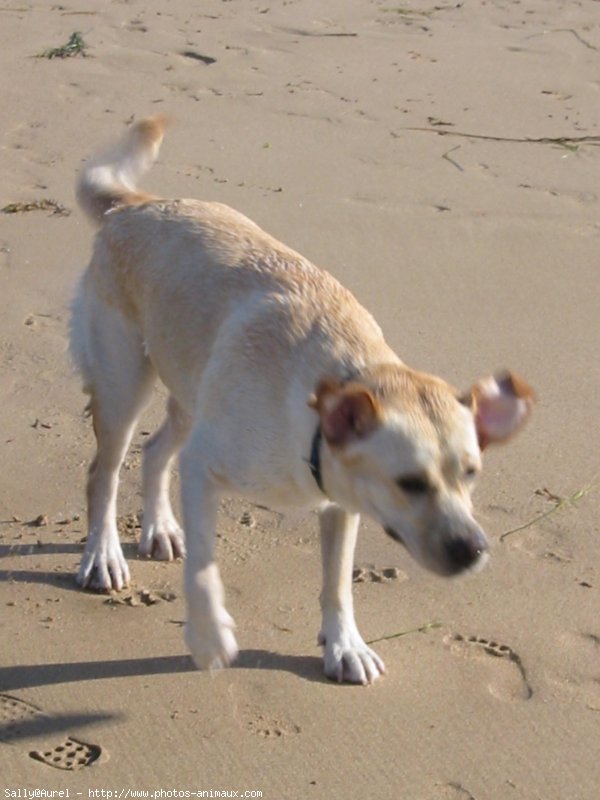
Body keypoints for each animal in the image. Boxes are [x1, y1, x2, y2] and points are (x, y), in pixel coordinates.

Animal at [70, 115, 536, 684]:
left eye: (470, 474)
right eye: (409, 482)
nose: (474, 551)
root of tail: (137, 205)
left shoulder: (340, 505)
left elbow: (337, 583)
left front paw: (345, 645)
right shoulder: (206, 467)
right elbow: (204, 566)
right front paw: (208, 637)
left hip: (189, 391)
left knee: (155, 450)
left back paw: (158, 528)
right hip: (124, 385)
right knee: (104, 472)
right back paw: (103, 555)